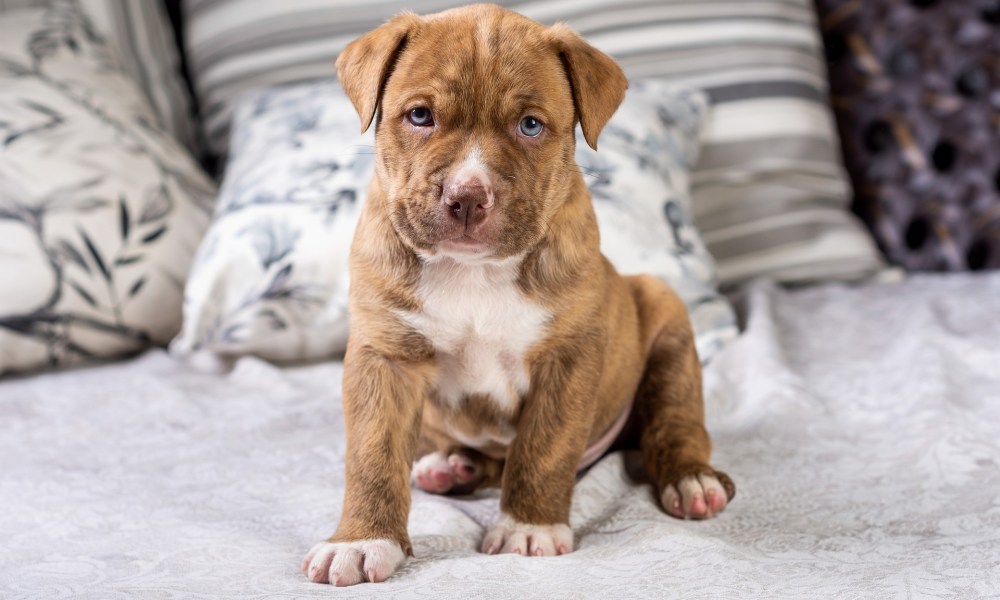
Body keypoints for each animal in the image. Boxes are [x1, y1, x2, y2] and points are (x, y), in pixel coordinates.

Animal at [300, 3, 732, 584]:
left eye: (530, 125)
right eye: (420, 116)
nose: (467, 196)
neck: (473, 272)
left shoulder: (567, 358)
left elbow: (543, 447)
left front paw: (529, 528)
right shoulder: (385, 357)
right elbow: (373, 456)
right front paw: (362, 541)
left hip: (664, 318)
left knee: (675, 419)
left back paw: (692, 480)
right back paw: (451, 465)